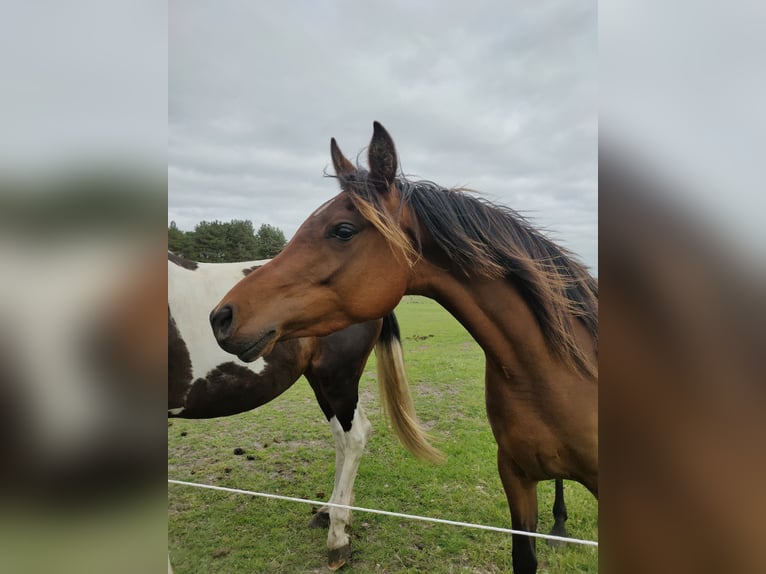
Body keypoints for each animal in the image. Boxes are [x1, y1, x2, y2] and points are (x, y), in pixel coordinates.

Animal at [171, 253, 440, 572]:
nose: (221, 320)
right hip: (324, 382)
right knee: (345, 436)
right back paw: (330, 513)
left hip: (337, 379)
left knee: (354, 438)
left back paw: (337, 538)